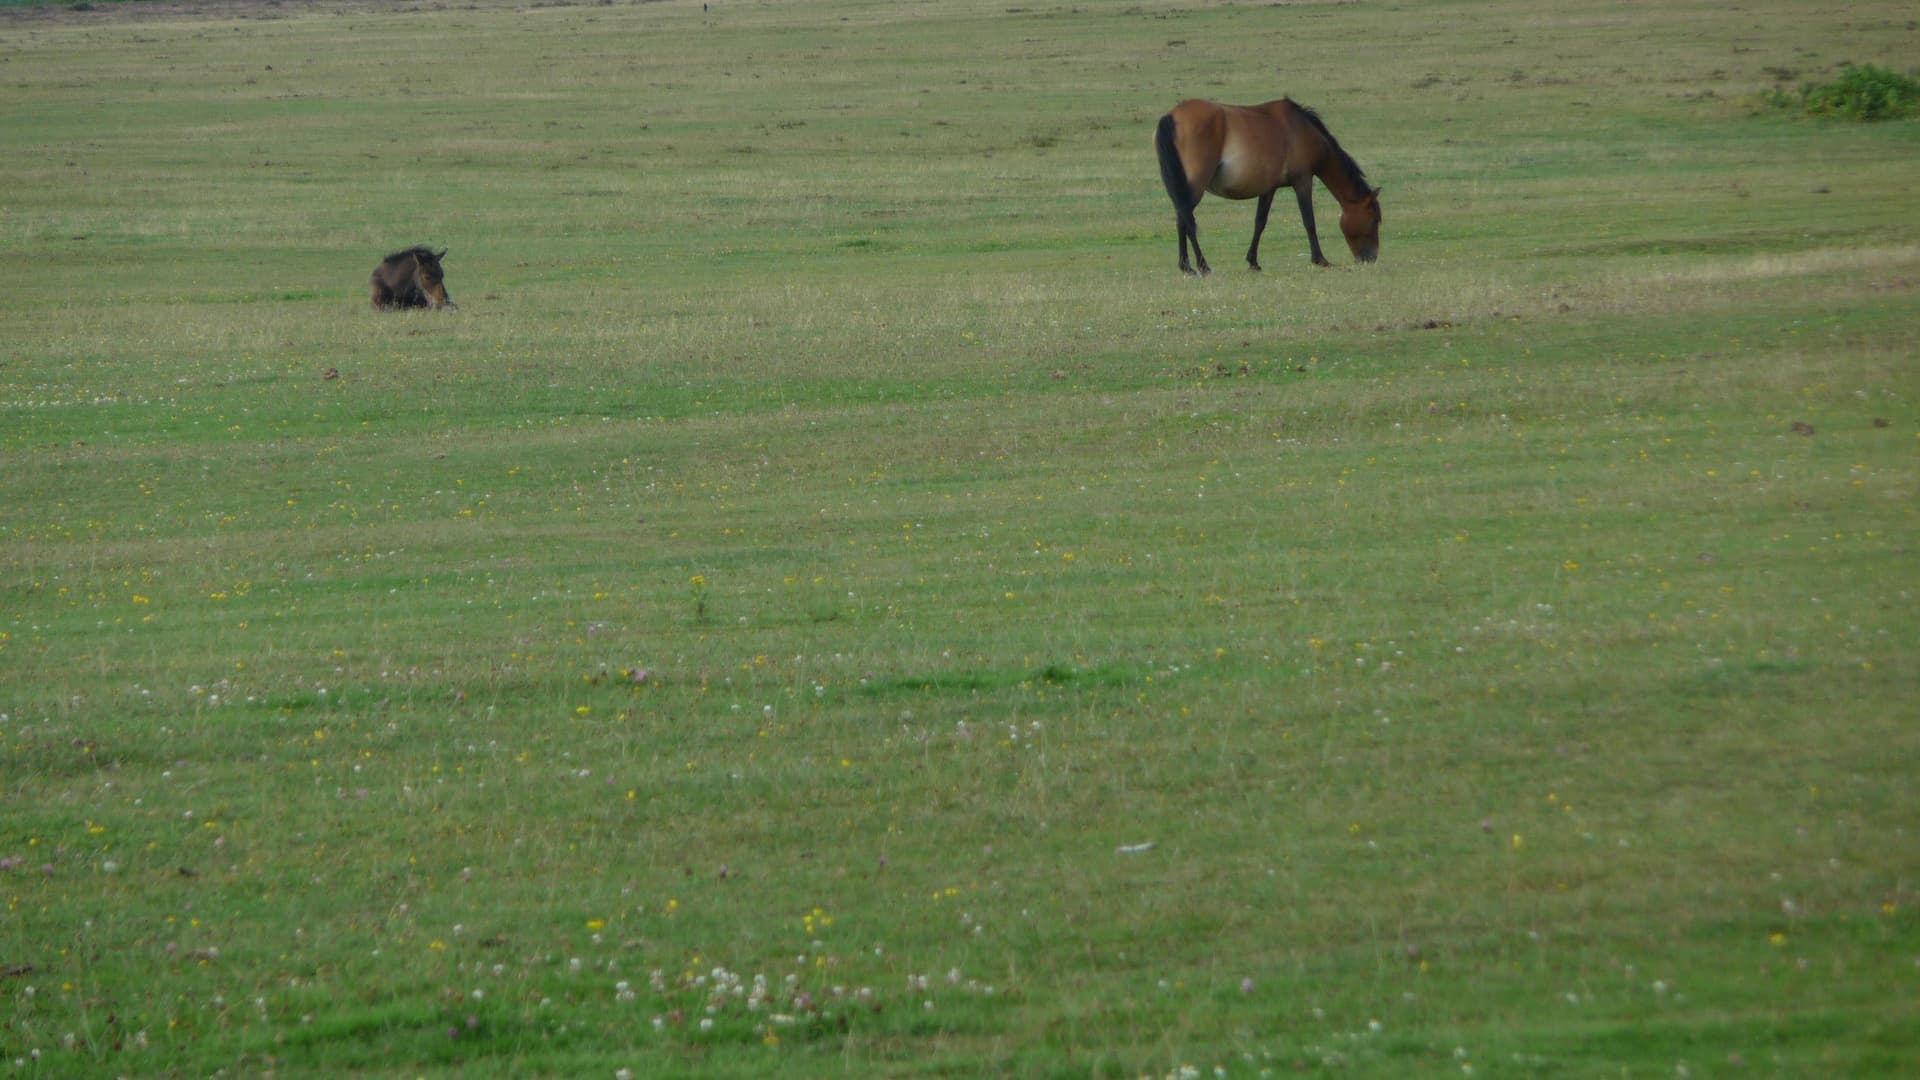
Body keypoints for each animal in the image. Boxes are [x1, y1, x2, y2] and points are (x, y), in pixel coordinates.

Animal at [1154, 98, 1382, 275]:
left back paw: (1186, 266)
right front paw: (1320, 259)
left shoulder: (1268, 189)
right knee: (1186, 220)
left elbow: (1260, 223)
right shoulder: (1303, 181)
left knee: (1181, 220)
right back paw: (1202, 266)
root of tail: (1172, 116)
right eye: (1374, 220)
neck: (1302, 130)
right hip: (1194, 187)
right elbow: (1309, 221)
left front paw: (1253, 261)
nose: (1370, 258)